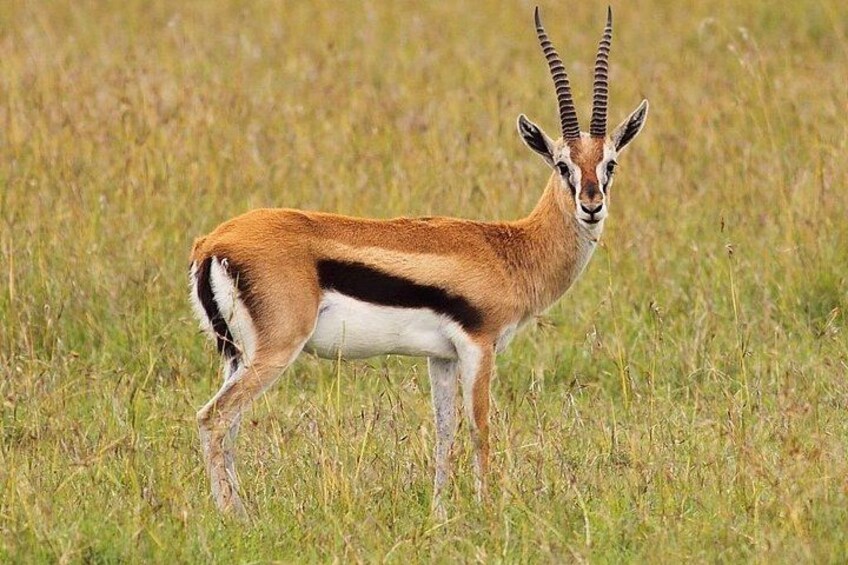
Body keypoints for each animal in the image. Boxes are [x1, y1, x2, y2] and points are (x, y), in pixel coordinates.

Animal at [189, 7, 648, 519]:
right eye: (561, 164)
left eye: (610, 163)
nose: (592, 205)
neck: (510, 249)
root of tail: (213, 242)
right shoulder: (479, 346)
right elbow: (480, 429)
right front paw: (487, 511)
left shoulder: (440, 357)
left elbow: (444, 433)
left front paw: (440, 513)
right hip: (274, 351)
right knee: (214, 418)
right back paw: (235, 518)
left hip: (236, 354)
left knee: (227, 424)